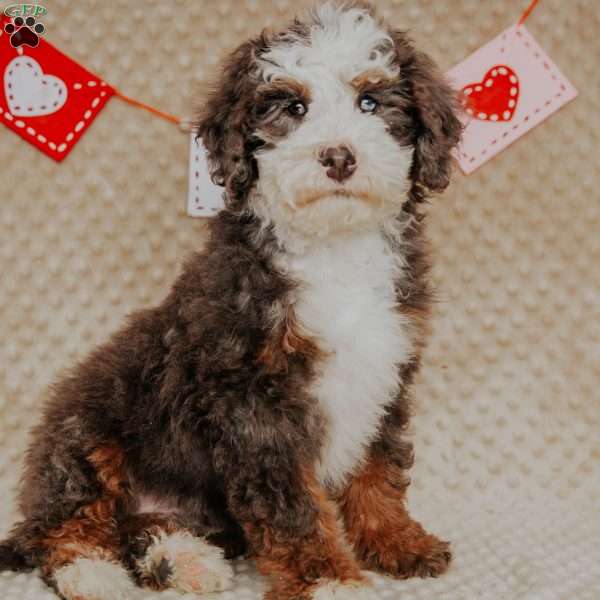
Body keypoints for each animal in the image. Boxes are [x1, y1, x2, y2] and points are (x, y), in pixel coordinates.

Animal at [0, 2, 460, 596]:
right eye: (293, 107)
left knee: (143, 527)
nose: (338, 157)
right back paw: (94, 573)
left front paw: (396, 540)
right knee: (62, 528)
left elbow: (376, 468)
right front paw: (326, 578)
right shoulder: (255, 403)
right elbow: (292, 506)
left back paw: (177, 559)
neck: (333, 250)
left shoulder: (384, 373)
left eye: (371, 102)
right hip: (85, 430)